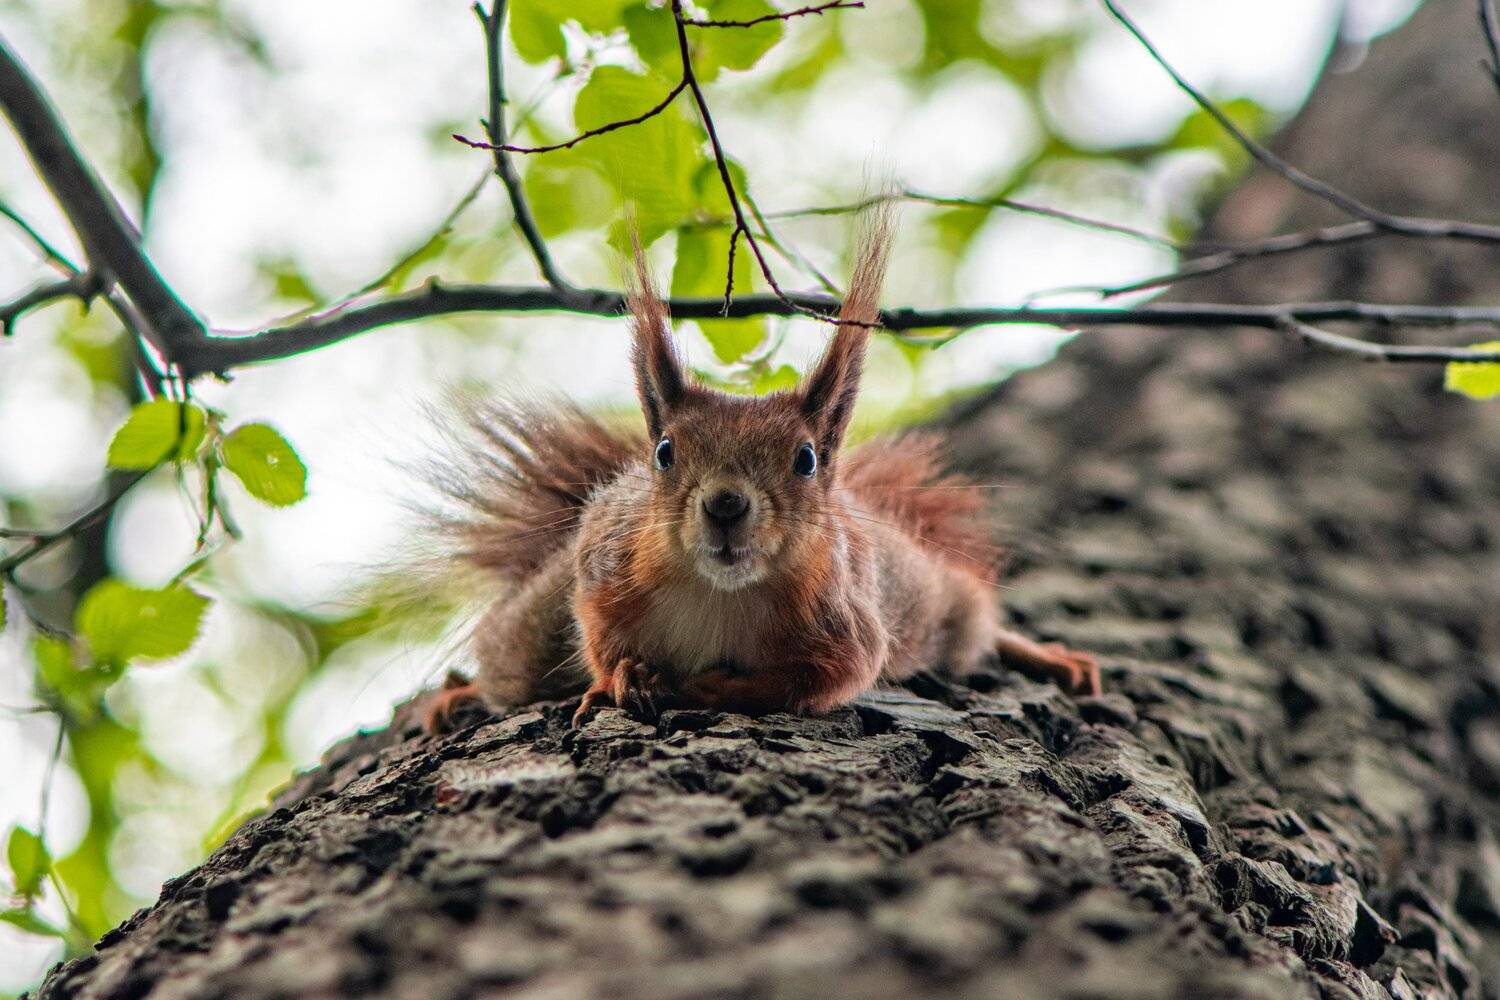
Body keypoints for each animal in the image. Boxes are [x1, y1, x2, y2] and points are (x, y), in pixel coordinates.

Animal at [423, 211, 1100, 731]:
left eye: (805, 458)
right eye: (663, 451)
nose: (725, 504)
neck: (719, 594)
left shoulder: (847, 626)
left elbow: (814, 681)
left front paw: (713, 689)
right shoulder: (602, 564)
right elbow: (598, 636)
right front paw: (623, 676)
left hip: (930, 600)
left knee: (972, 621)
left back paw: (1049, 658)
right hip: (530, 633)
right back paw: (458, 695)